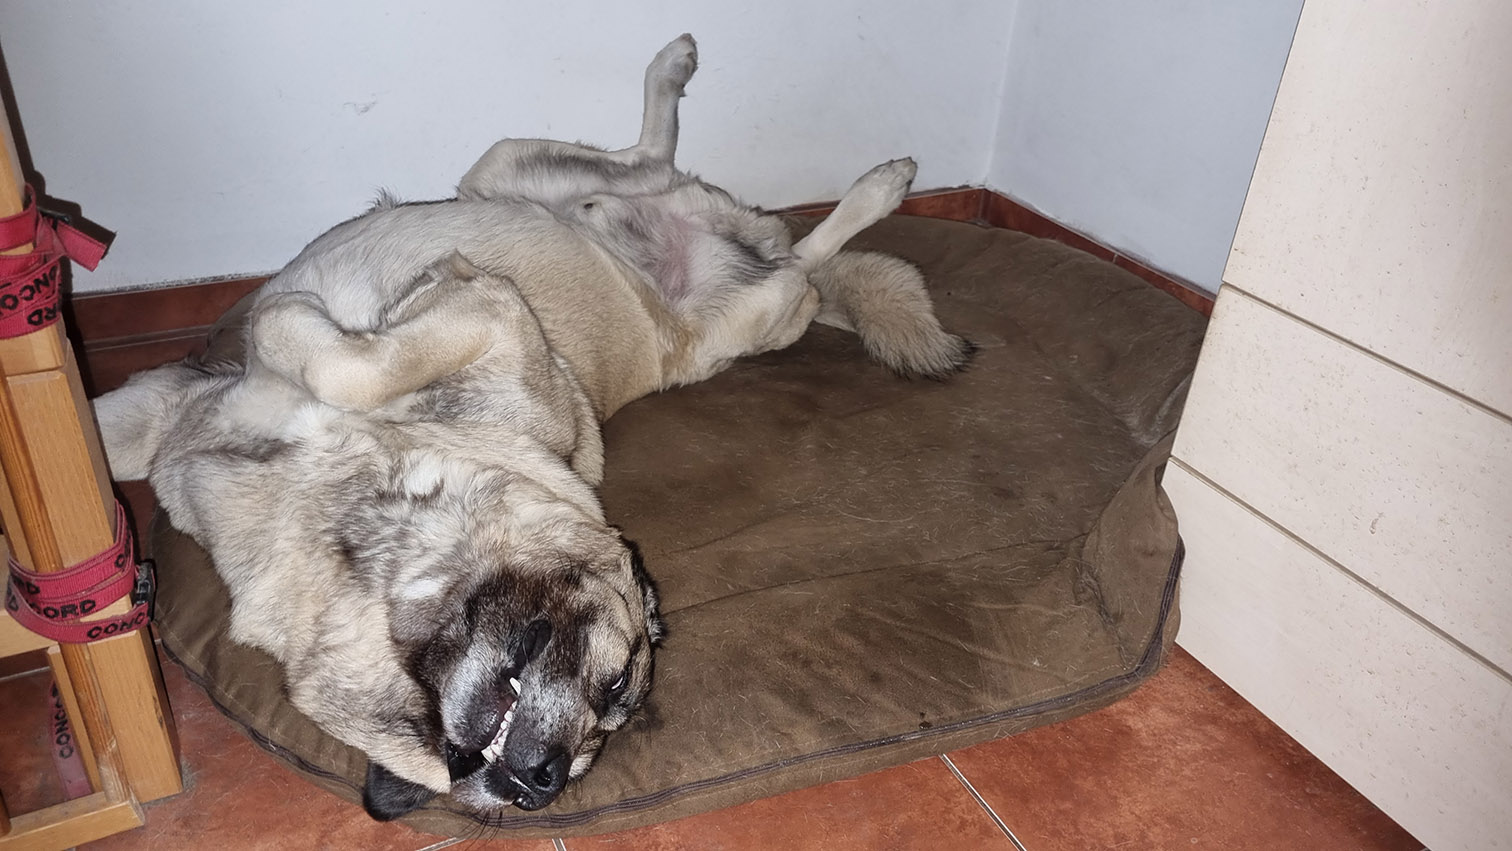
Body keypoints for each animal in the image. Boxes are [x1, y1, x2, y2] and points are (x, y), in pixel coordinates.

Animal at [92, 34, 970, 821]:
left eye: (612, 697)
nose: (539, 782)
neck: (356, 539)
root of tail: (724, 238)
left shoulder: (493, 313)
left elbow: (338, 359)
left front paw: (289, 329)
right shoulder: (173, 408)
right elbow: (128, 428)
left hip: (760, 308)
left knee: (807, 259)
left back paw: (881, 185)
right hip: (503, 168)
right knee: (650, 160)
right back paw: (680, 75)